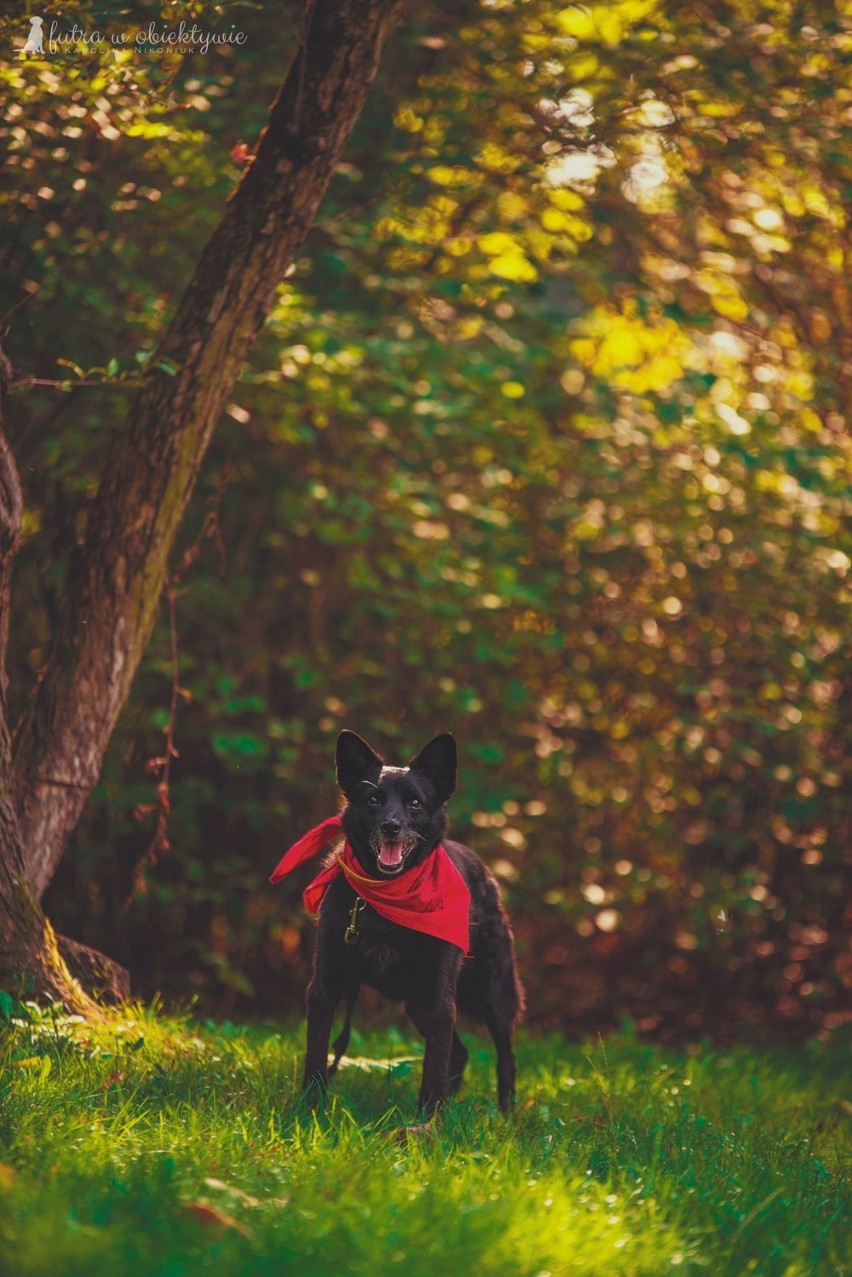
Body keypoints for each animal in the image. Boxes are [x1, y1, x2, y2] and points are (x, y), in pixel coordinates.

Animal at [300, 735, 526, 1113]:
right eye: (373, 799)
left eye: (415, 803)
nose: (391, 827)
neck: (388, 896)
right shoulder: (326, 985)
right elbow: (316, 1057)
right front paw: (308, 1110)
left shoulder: (439, 997)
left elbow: (434, 1066)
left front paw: (427, 1121)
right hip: (415, 1001)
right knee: (460, 1054)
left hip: (491, 993)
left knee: (505, 1059)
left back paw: (504, 1115)